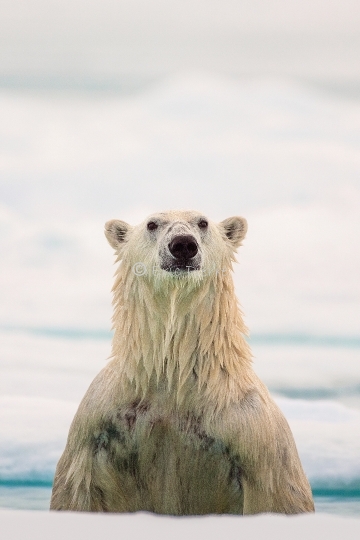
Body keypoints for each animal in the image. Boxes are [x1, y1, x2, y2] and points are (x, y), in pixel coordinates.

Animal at [50, 208, 316, 516]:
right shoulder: (96, 427)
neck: (173, 380)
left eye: (203, 223)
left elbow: (277, 497)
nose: (183, 245)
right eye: (152, 224)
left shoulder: (254, 438)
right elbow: (74, 492)